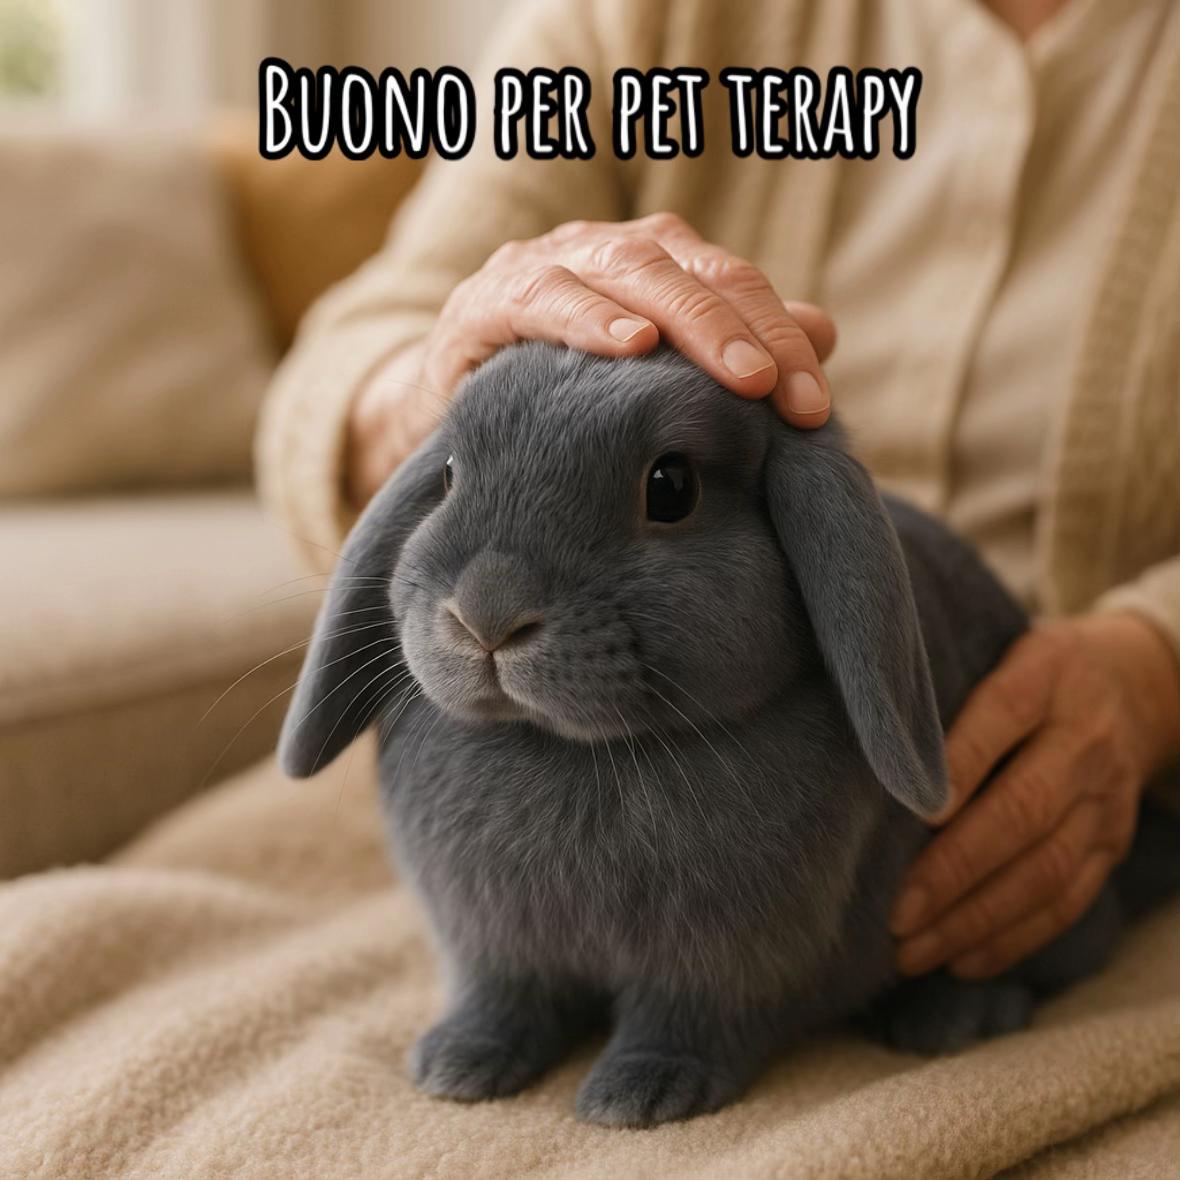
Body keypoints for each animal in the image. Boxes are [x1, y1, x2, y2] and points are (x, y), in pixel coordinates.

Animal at [279, 341, 1180, 1128]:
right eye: (449, 475)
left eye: (670, 487)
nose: (487, 613)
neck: (574, 749)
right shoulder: (494, 943)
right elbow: (500, 999)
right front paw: (457, 1065)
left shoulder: (721, 959)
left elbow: (686, 1019)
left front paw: (641, 1096)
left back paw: (955, 1015)